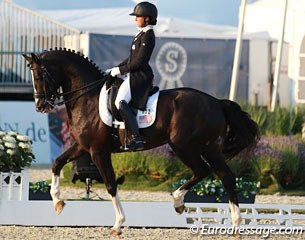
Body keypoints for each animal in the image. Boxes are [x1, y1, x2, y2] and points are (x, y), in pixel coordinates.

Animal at [22, 48, 258, 234]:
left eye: (40, 75)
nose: (40, 106)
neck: (87, 97)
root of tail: (217, 102)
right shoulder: (83, 147)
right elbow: (57, 164)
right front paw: (58, 202)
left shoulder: (98, 151)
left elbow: (110, 183)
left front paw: (118, 224)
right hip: (207, 148)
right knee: (224, 176)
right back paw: (232, 222)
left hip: (185, 146)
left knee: (206, 171)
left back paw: (182, 203)